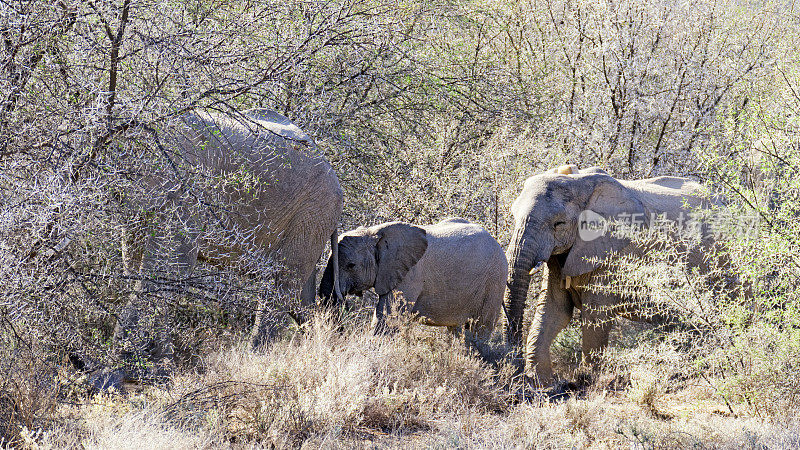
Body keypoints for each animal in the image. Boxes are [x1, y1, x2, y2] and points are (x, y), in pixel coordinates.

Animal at [117, 107, 342, 370]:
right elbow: (134, 258)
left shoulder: (188, 188)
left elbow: (173, 264)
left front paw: (138, 362)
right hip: (310, 221)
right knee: (299, 293)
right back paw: (319, 342)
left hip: (313, 212)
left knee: (282, 282)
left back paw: (256, 358)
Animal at [318, 218, 506, 338]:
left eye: (351, 265)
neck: (374, 233)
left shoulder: (409, 275)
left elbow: (388, 319)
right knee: (458, 332)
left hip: (495, 281)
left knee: (480, 329)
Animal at [506, 164, 720, 384]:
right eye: (513, 216)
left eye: (559, 224)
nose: (513, 363)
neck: (578, 183)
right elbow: (554, 310)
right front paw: (542, 382)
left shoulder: (613, 252)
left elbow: (595, 316)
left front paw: (588, 379)